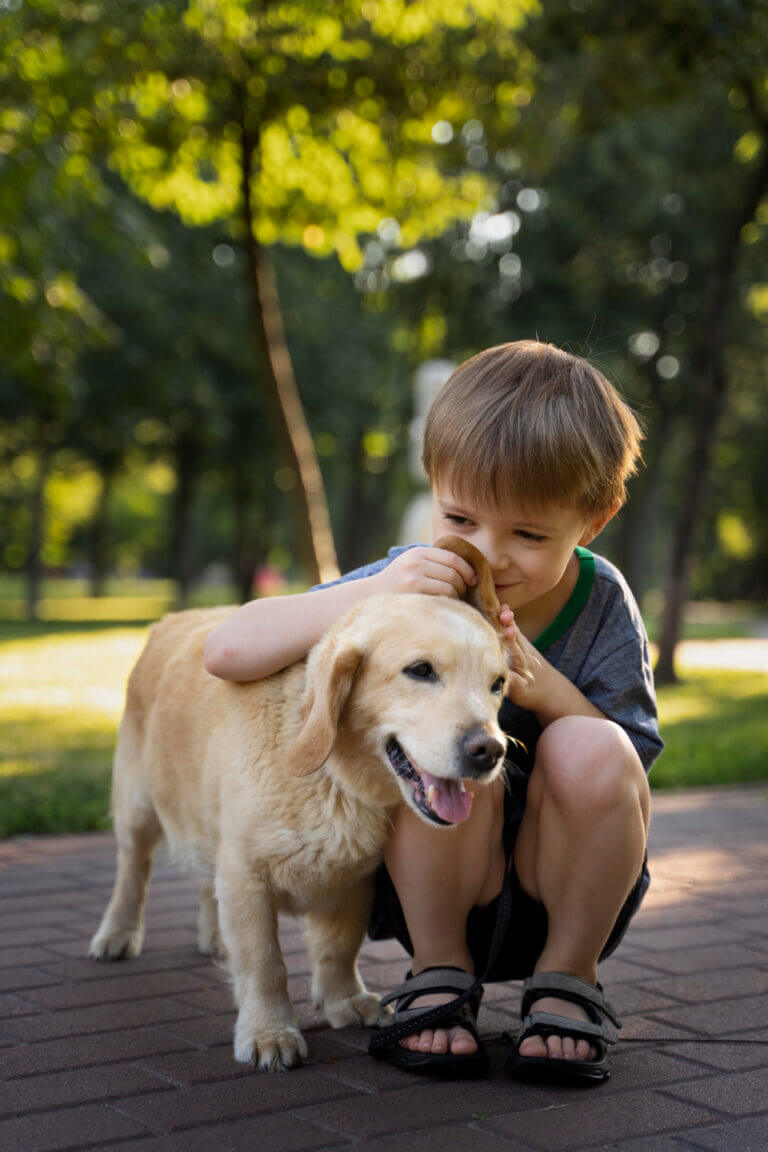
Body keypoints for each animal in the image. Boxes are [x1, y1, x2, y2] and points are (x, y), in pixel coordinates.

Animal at [90, 536, 511, 1069]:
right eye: (420, 671)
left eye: (497, 684)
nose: (490, 751)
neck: (334, 779)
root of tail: (170, 619)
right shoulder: (246, 874)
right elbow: (264, 962)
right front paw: (269, 1030)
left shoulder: (356, 879)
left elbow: (339, 947)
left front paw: (343, 1000)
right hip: (138, 807)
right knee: (133, 868)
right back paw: (118, 933)